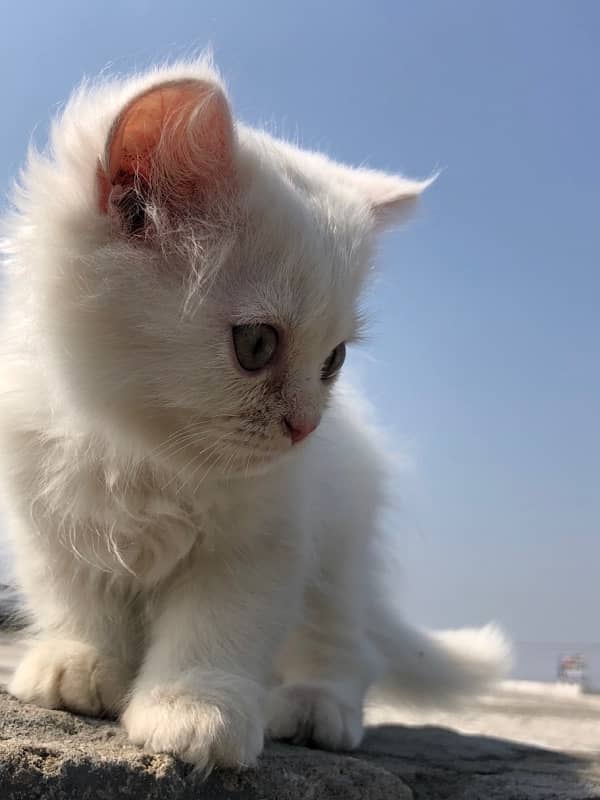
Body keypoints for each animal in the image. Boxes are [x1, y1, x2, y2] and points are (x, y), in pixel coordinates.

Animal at [0, 57, 510, 768]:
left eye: (334, 361)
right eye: (258, 345)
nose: (306, 428)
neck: (139, 448)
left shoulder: (263, 539)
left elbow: (215, 629)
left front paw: (193, 712)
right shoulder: (46, 517)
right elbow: (77, 598)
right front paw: (79, 665)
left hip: (337, 552)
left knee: (347, 646)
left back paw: (315, 707)